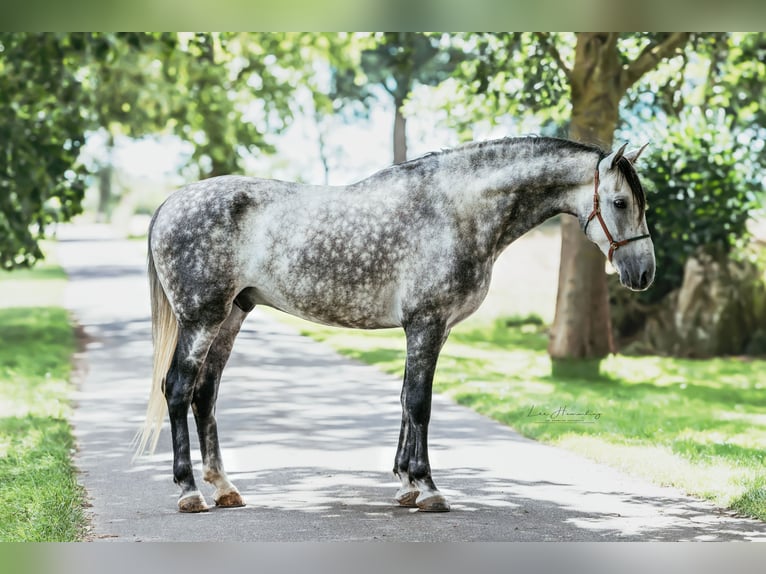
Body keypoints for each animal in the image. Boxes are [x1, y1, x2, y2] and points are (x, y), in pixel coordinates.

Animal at [136, 137, 656, 516]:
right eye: (619, 202)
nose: (644, 273)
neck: (458, 209)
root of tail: (170, 203)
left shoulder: (429, 328)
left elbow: (407, 400)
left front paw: (406, 483)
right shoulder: (426, 323)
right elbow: (420, 404)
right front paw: (428, 488)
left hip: (231, 315)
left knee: (205, 394)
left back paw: (224, 488)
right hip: (202, 318)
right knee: (178, 389)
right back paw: (189, 492)